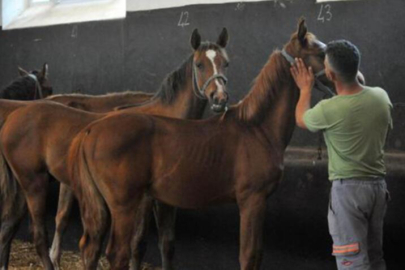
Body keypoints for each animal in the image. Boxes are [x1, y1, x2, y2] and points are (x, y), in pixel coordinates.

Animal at [0, 28, 229, 270]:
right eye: (199, 64)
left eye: (226, 63)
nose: (219, 98)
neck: (165, 121)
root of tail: (14, 117)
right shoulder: (144, 199)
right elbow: (138, 244)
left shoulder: (166, 200)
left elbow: (167, 244)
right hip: (35, 184)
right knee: (37, 233)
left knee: (9, 226)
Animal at [67, 19, 328, 270]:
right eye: (321, 53)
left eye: (226, 63)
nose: (219, 98)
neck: (257, 128)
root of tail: (91, 129)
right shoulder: (252, 200)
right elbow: (249, 256)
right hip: (124, 206)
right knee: (117, 253)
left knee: (90, 247)